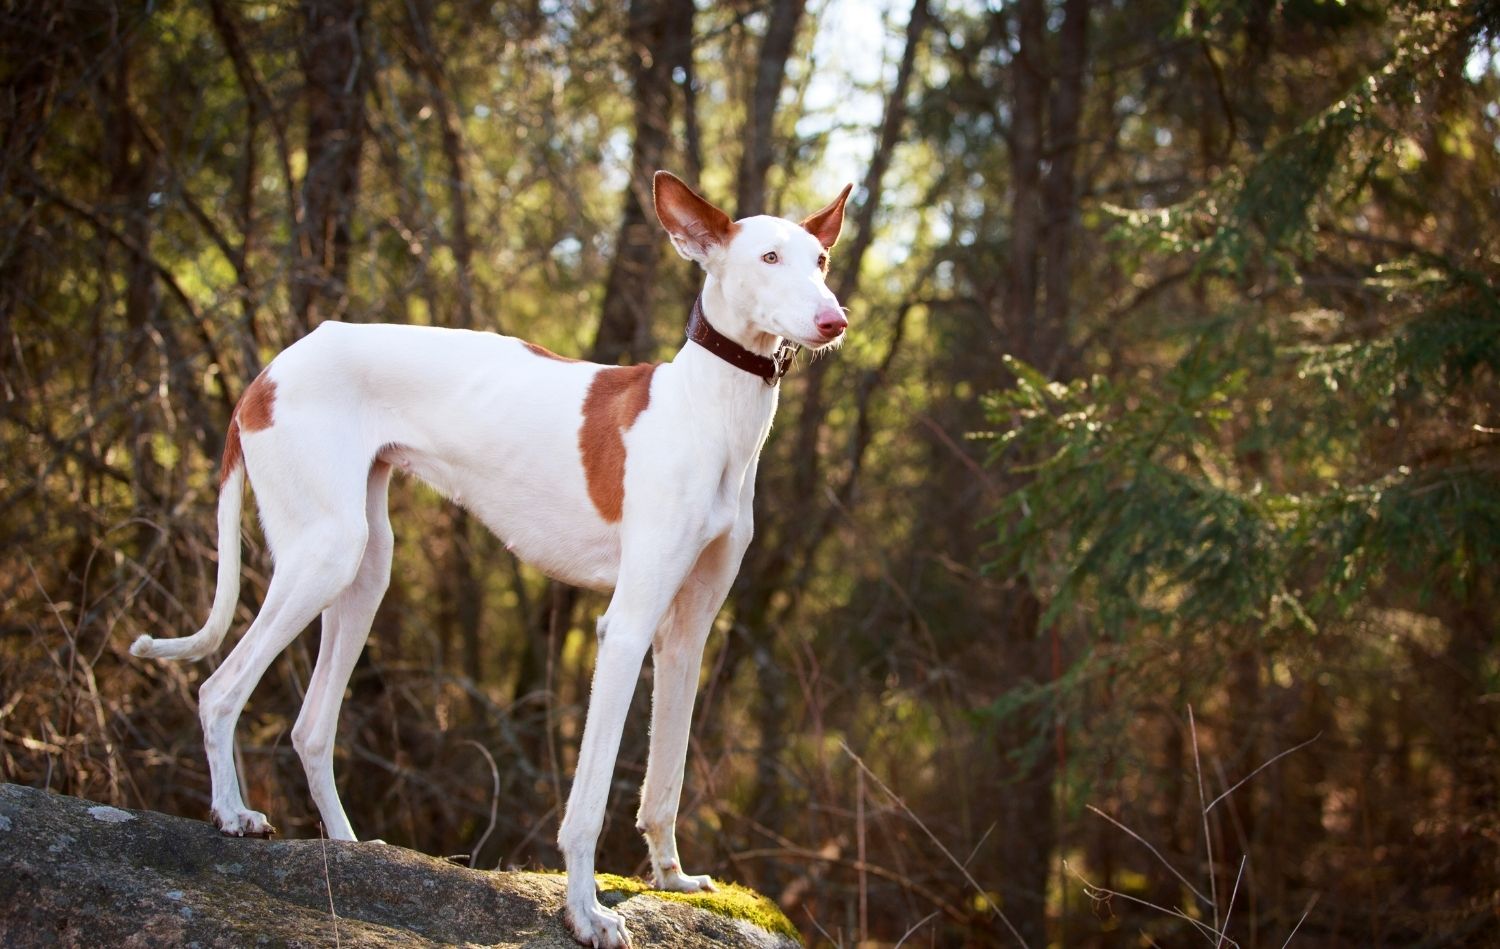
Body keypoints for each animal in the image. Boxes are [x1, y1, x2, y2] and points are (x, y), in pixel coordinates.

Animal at [135, 172, 852, 947]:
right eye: (769, 257)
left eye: (821, 260)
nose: (836, 320)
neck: (707, 409)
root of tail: (269, 369)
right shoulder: (625, 629)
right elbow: (589, 802)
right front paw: (586, 913)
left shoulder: (685, 637)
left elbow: (666, 778)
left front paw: (671, 876)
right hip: (324, 554)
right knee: (219, 690)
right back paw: (233, 815)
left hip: (366, 569)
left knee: (311, 726)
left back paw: (351, 847)